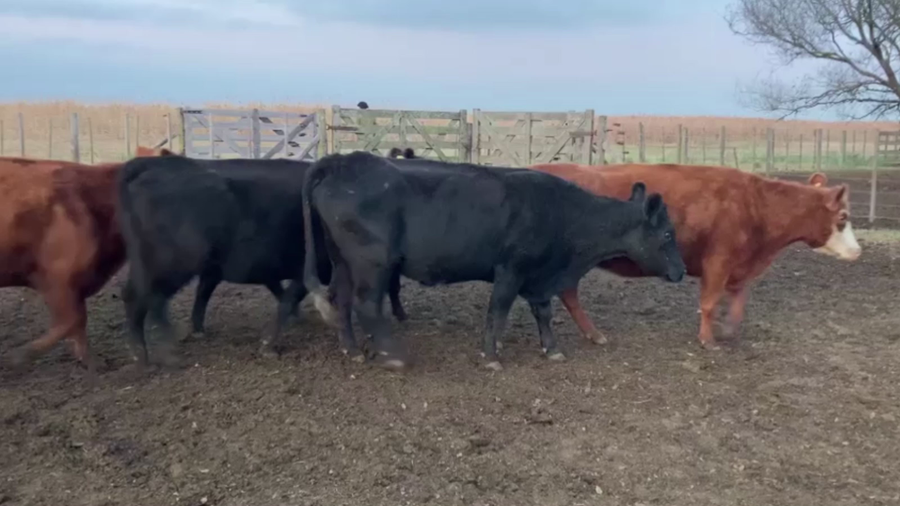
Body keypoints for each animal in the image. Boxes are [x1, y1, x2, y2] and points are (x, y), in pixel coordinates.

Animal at [115, 154, 409, 368]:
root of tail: (154, 163)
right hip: (170, 262)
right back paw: (148, 353)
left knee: (157, 298)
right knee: (141, 298)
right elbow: (289, 296)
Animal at [301, 151, 687, 371]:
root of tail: (340, 161)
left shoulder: (539, 277)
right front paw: (491, 356)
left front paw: (552, 350)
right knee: (366, 304)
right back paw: (394, 356)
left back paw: (351, 349)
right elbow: (497, 312)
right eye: (668, 234)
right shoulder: (511, 270)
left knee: (341, 299)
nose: (681, 271)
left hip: (343, 261)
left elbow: (543, 312)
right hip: (373, 262)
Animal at [527, 162, 862, 350]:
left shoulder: (739, 266)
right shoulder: (718, 261)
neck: (756, 206)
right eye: (843, 217)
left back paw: (593, 333)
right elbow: (710, 302)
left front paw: (727, 331)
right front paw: (708, 340)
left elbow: (738, 300)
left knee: (568, 293)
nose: (857, 251)